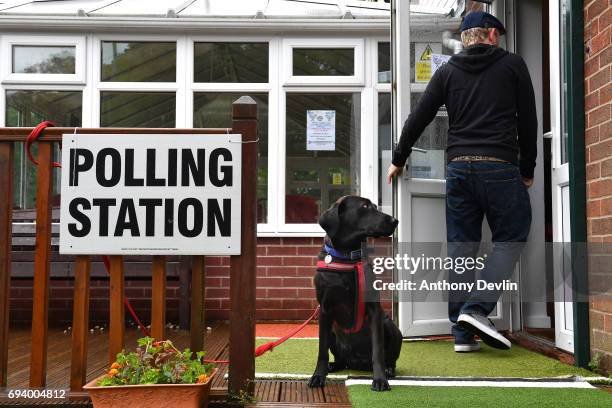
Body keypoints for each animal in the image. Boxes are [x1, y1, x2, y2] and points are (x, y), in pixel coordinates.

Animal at [308, 196, 404, 390]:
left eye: (375, 206)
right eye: (365, 206)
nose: (395, 220)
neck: (346, 257)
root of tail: (356, 363)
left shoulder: (374, 310)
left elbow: (377, 351)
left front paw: (380, 379)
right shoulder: (324, 310)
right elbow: (322, 350)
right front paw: (318, 376)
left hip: (390, 327)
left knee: (390, 358)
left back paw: (389, 369)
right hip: (333, 331)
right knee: (340, 360)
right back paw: (332, 366)